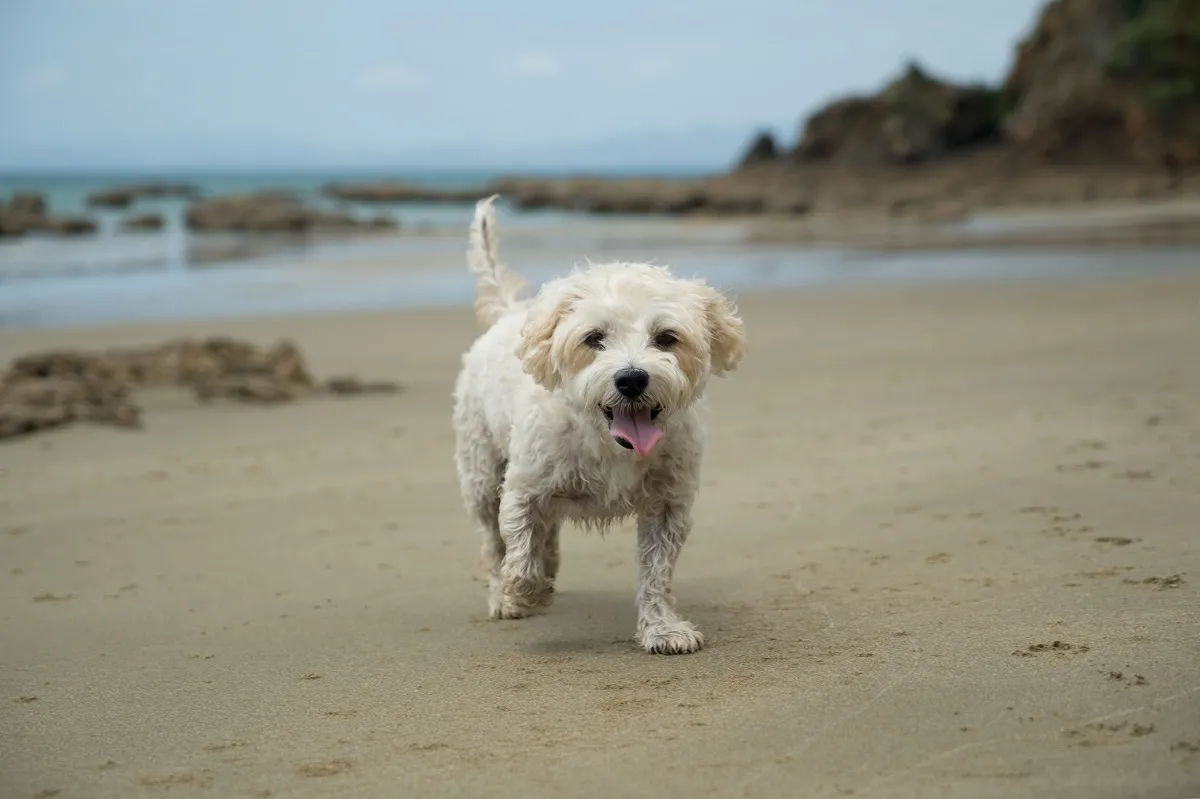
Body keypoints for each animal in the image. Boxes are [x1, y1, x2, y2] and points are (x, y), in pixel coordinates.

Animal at [453, 194, 744, 652]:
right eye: (593, 338)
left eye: (666, 338)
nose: (631, 378)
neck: (607, 442)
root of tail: (511, 314)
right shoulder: (522, 488)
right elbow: (519, 547)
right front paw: (524, 593)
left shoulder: (669, 505)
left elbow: (657, 574)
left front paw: (662, 628)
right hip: (481, 474)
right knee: (492, 539)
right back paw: (505, 593)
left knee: (547, 530)